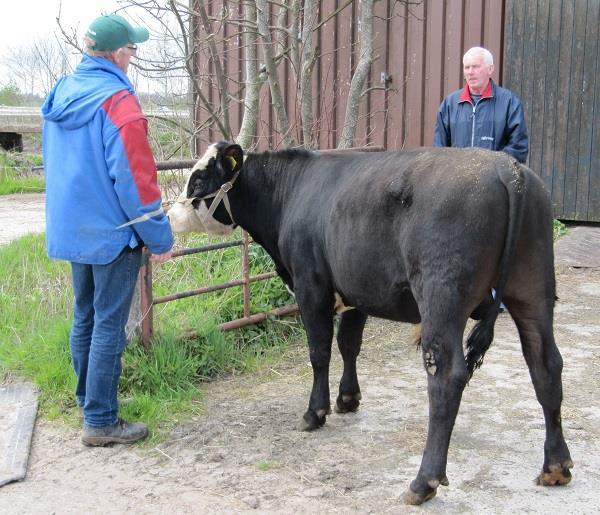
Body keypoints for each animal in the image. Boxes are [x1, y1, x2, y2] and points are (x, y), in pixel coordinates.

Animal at [168, 143, 572, 506]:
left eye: (199, 178)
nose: (169, 216)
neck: (292, 194)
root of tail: (507, 168)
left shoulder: (310, 285)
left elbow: (319, 351)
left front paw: (315, 412)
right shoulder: (358, 289)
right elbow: (349, 343)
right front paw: (348, 398)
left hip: (442, 298)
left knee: (446, 378)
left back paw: (423, 482)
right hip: (533, 291)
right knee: (546, 363)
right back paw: (556, 465)